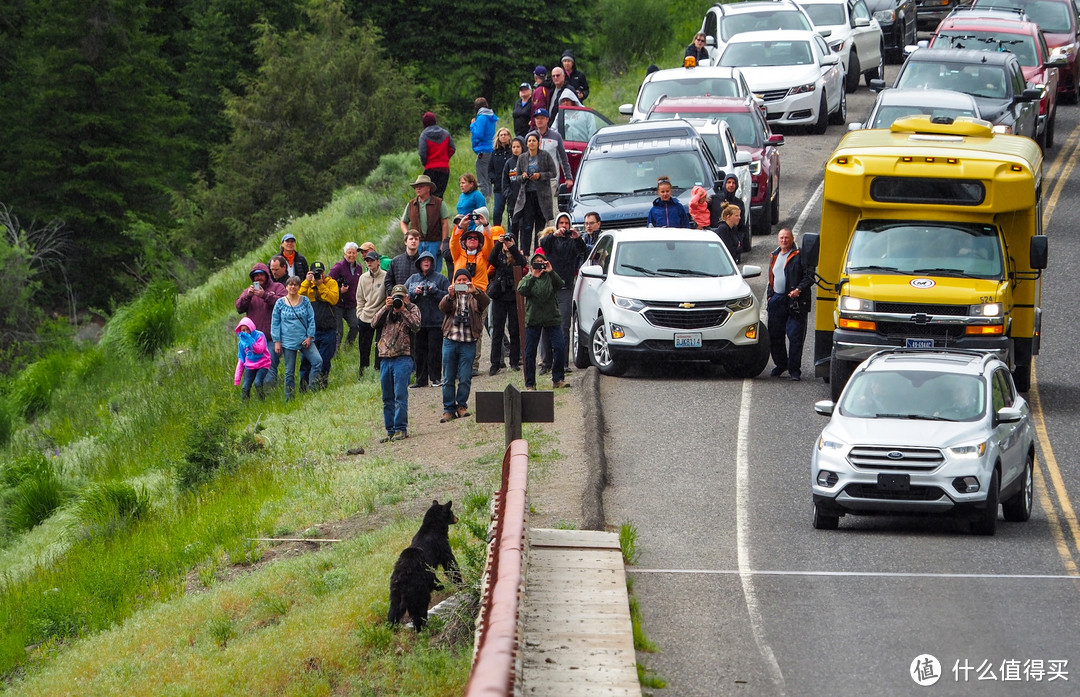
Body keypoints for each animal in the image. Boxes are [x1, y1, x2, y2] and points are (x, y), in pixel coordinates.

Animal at [386, 497, 457, 626]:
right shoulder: (440, 545)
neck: (434, 528)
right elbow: (450, 563)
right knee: (419, 608)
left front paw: (440, 585)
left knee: (394, 610)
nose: (457, 518)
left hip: (395, 592)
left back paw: (391, 625)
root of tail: (402, 581)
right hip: (417, 591)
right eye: (452, 512)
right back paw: (422, 625)